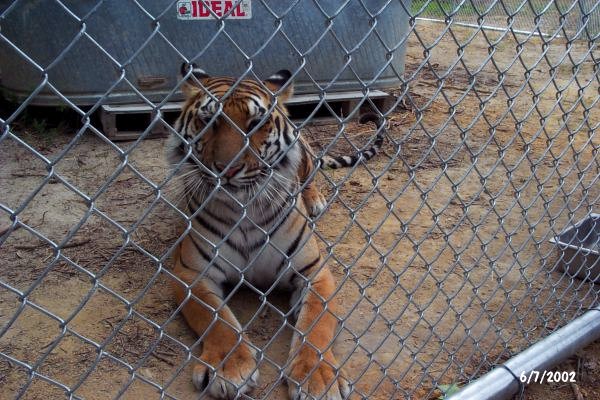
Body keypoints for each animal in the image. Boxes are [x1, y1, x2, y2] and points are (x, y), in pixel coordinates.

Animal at [168, 63, 384, 400]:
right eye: (209, 120)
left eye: (256, 123)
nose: (227, 169)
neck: (245, 211)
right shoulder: (191, 274)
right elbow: (217, 321)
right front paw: (230, 369)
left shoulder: (315, 271)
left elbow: (316, 325)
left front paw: (318, 378)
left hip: (306, 158)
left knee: (310, 177)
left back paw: (314, 200)